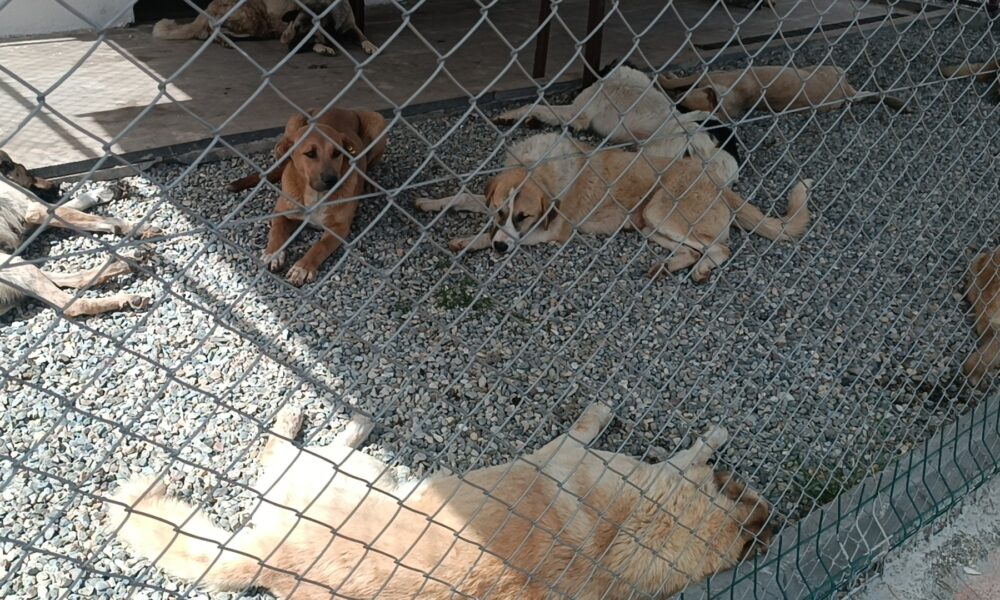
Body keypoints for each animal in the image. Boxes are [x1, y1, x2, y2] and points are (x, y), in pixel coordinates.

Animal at [0, 160, 153, 317]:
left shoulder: (31, 220)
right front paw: (133, 225)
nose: (56, 186)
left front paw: (104, 192)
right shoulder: (35, 211)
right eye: (25, 171)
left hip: (18, 264)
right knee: (72, 305)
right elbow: (90, 217)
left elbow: (75, 206)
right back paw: (124, 297)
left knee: (68, 278)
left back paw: (126, 263)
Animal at [107, 402, 775, 599]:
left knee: (282, 452)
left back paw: (326, 420)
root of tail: (270, 558)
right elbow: (679, 454)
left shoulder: (565, 453)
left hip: (350, 473)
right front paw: (708, 440)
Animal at [153, 0, 376, 57]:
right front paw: (322, 47)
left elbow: (363, 36)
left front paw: (370, 46)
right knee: (214, 32)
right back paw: (226, 41)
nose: (290, 49)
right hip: (254, 21)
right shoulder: (287, 34)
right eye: (297, 29)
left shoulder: (352, 27)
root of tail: (206, 8)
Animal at [227, 106, 387, 286]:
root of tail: (342, 108)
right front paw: (273, 254)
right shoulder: (281, 213)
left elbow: (319, 246)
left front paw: (303, 267)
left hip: (378, 121)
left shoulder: (339, 228)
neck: (315, 196)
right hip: (293, 120)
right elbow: (276, 232)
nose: (332, 180)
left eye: (337, 153)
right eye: (310, 153)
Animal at [416, 133, 810, 283]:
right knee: (693, 248)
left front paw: (473, 241)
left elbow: (510, 237)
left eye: (523, 217)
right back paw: (667, 266)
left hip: (661, 210)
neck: (538, 165)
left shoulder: (554, 231)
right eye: (500, 210)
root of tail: (716, 184)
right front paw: (430, 202)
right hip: (650, 225)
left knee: (721, 248)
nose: (499, 248)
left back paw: (698, 270)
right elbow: (462, 197)